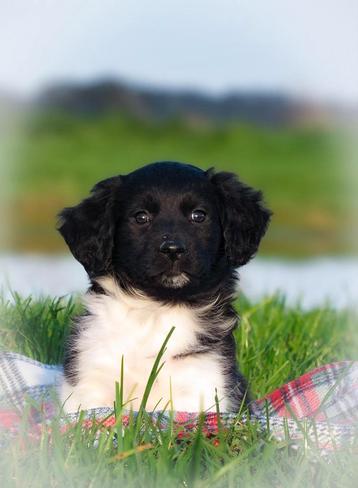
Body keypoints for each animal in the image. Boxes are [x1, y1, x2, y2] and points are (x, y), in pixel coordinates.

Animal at [59, 162, 272, 414]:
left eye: (198, 215)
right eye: (141, 217)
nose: (172, 249)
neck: (157, 308)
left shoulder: (204, 385)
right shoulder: (89, 378)